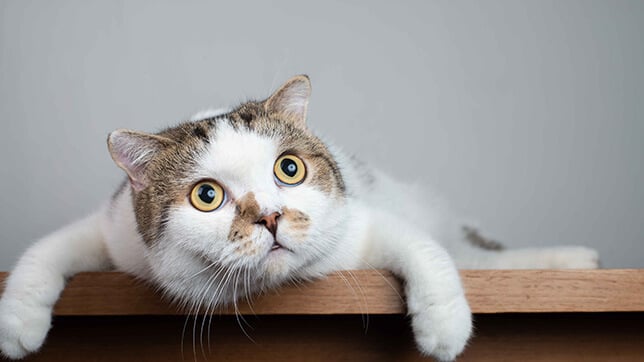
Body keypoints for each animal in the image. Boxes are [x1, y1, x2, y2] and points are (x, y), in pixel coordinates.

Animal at [0, 75, 600, 360]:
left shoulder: (358, 226)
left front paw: (445, 325)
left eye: (289, 169)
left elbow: (423, 251)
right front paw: (18, 323)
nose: (269, 216)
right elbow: (46, 249)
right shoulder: (116, 232)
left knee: (464, 252)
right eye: (206, 196)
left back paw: (575, 259)